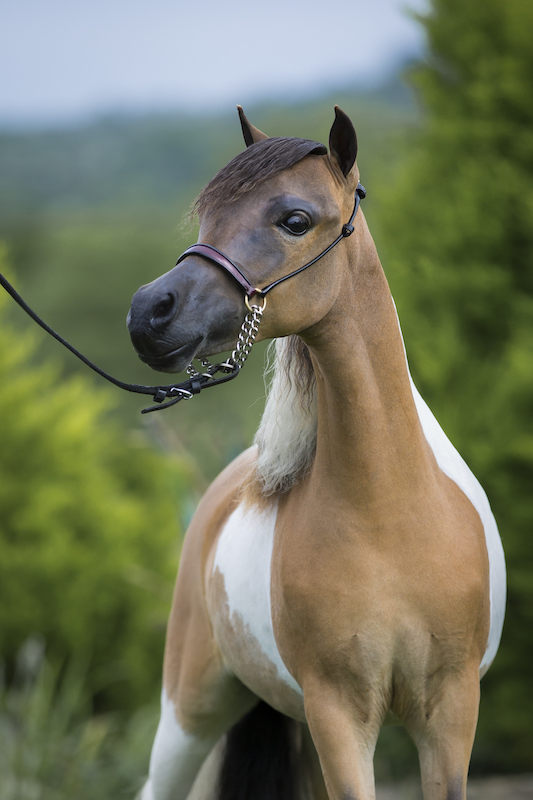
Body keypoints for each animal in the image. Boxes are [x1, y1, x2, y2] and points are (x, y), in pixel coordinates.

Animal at [126, 107, 506, 800]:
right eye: (209, 218)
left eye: (295, 220)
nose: (149, 312)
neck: (391, 513)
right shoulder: (339, 716)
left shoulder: (450, 714)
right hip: (188, 714)